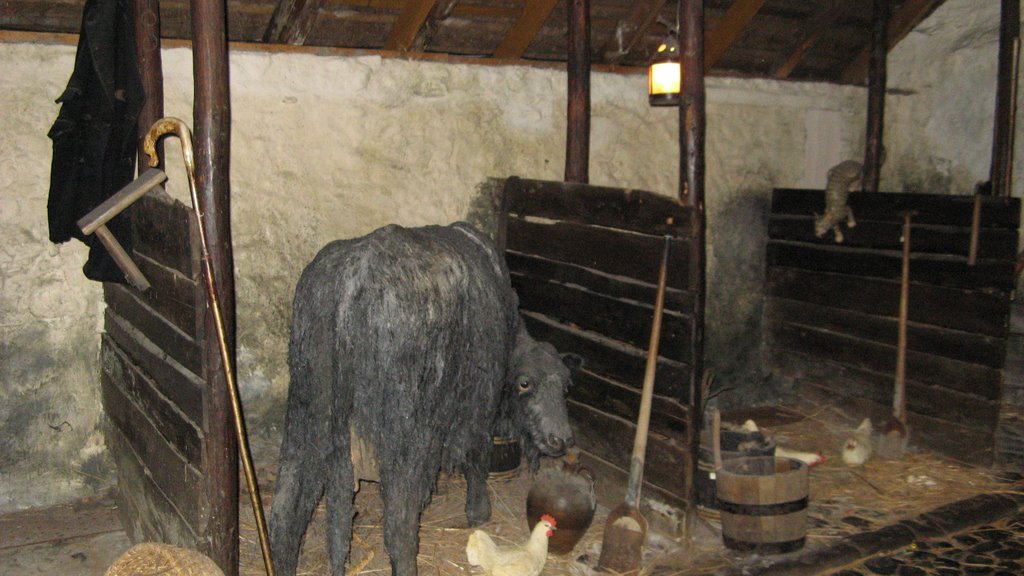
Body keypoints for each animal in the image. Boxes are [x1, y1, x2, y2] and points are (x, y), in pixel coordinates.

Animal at [268, 222, 581, 573]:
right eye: (525, 384)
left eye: (567, 386)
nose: (561, 439)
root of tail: (352, 279)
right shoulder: (479, 402)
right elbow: (477, 455)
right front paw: (478, 512)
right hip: (405, 432)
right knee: (399, 524)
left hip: (307, 409)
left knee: (286, 514)